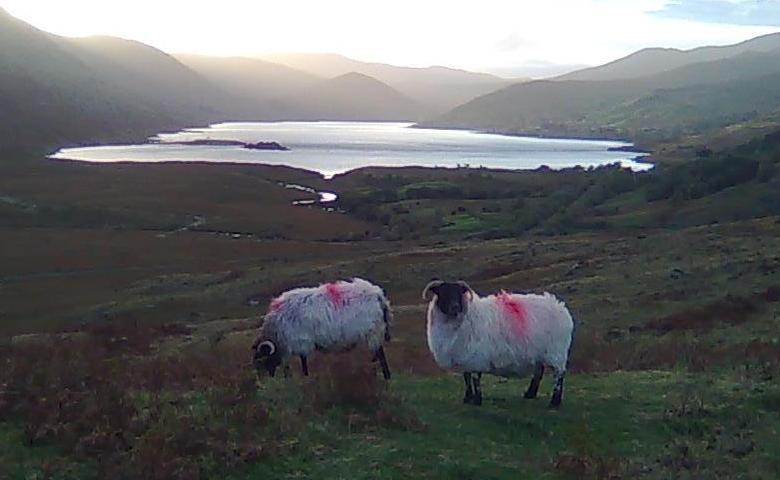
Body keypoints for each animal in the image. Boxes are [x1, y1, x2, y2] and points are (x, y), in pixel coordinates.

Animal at [253, 278, 394, 378]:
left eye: (261, 360)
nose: (263, 384)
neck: (277, 331)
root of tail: (378, 295)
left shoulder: (301, 343)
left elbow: (303, 363)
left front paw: (305, 379)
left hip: (374, 331)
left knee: (381, 354)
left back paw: (387, 376)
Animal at [424, 280, 576, 406]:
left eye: (458, 292)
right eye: (443, 292)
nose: (455, 307)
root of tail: (560, 306)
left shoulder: (477, 355)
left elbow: (475, 378)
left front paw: (477, 400)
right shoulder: (464, 355)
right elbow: (466, 378)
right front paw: (467, 398)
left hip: (557, 351)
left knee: (559, 375)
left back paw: (555, 402)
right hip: (538, 351)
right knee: (539, 372)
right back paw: (530, 394)